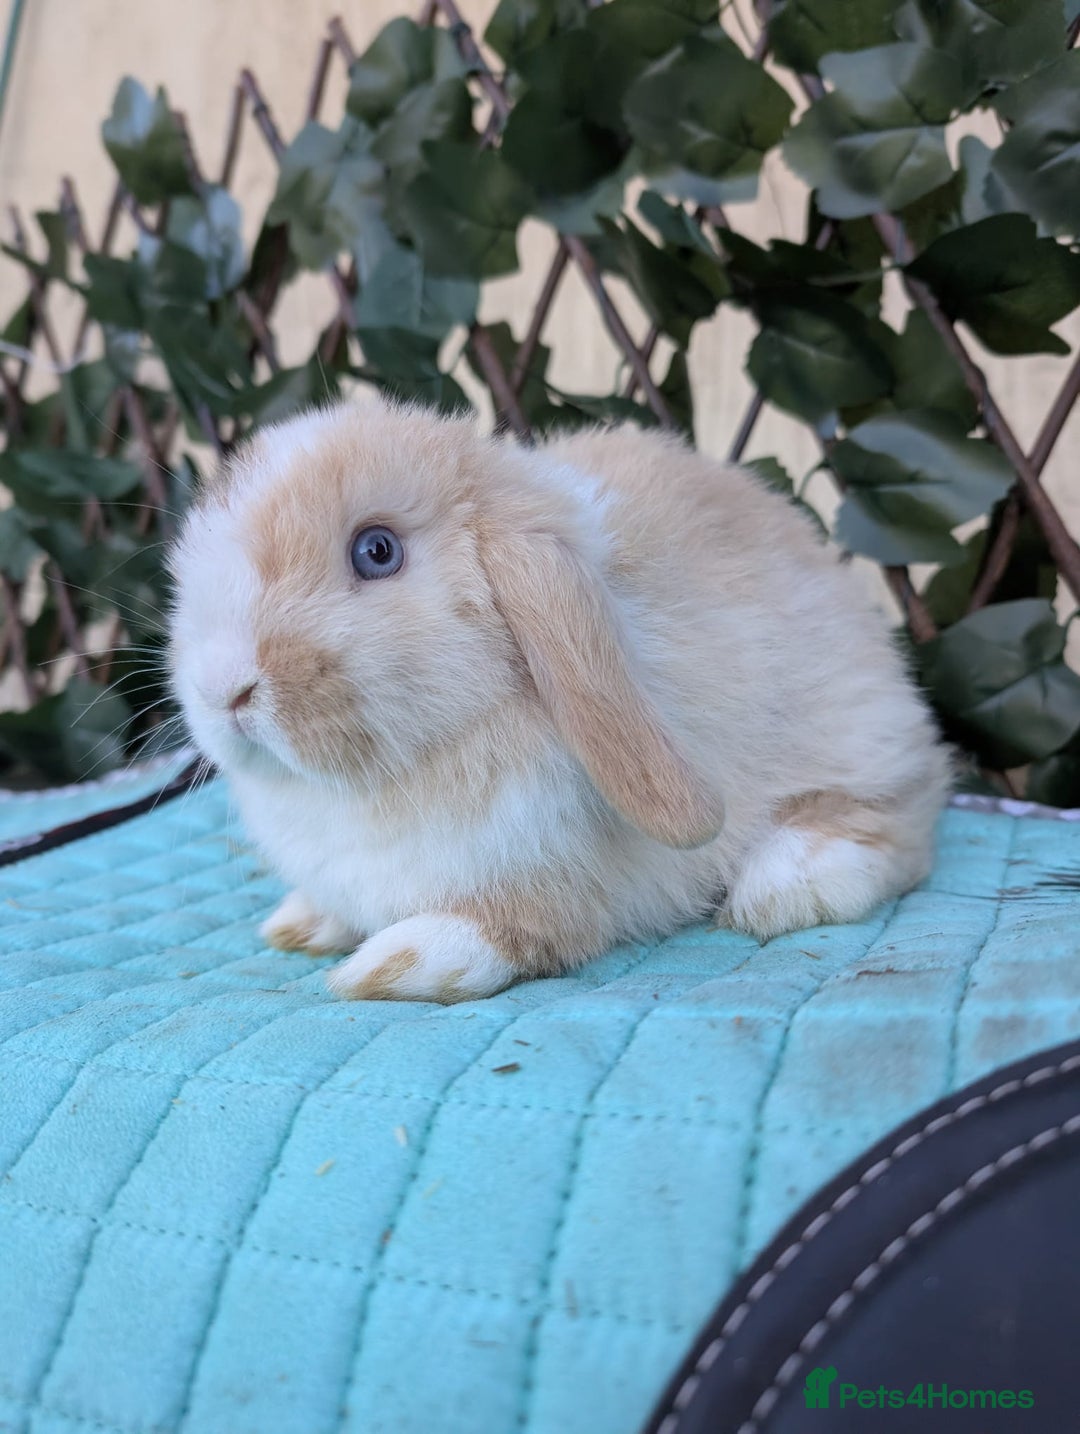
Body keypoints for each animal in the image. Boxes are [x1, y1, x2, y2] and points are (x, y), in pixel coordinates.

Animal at [167, 397, 951, 1004]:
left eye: (377, 551)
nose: (223, 688)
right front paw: (301, 925)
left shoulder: (547, 873)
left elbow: (514, 931)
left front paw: (392, 966)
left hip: (856, 731)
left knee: (900, 822)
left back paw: (786, 885)